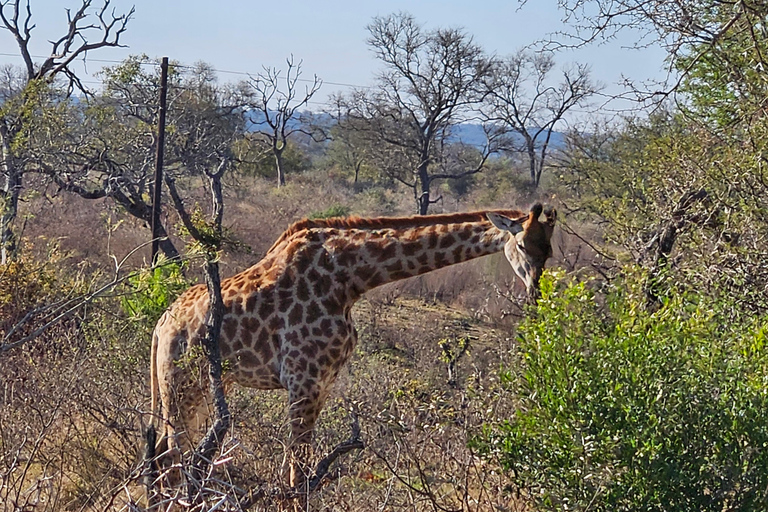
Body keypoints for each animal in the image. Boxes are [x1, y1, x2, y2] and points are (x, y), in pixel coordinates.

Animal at [148, 204, 560, 492]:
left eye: (549, 250)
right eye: (521, 244)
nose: (535, 295)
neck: (351, 278)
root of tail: (161, 326)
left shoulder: (324, 382)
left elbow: (300, 472)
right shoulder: (304, 380)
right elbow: (297, 474)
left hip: (204, 390)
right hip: (179, 386)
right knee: (169, 460)